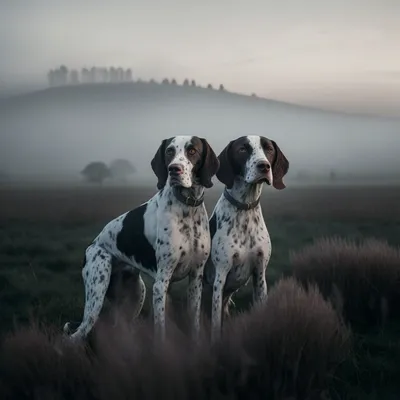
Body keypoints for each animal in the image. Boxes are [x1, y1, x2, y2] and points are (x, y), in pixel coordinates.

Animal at [63, 136, 219, 342]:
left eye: (192, 151)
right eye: (169, 151)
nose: (174, 169)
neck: (187, 209)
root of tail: (91, 246)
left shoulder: (195, 279)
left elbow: (194, 324)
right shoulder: (161, 284)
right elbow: (161, 329)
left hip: (137, 295)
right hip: (96, 293)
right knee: (75, 336)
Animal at [205, 136, 290, 342]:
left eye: (268, 149)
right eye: (242, 149)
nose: (264, 166)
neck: (245, 207)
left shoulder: (260, 275)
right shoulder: (219, 278)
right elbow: (215, 328)